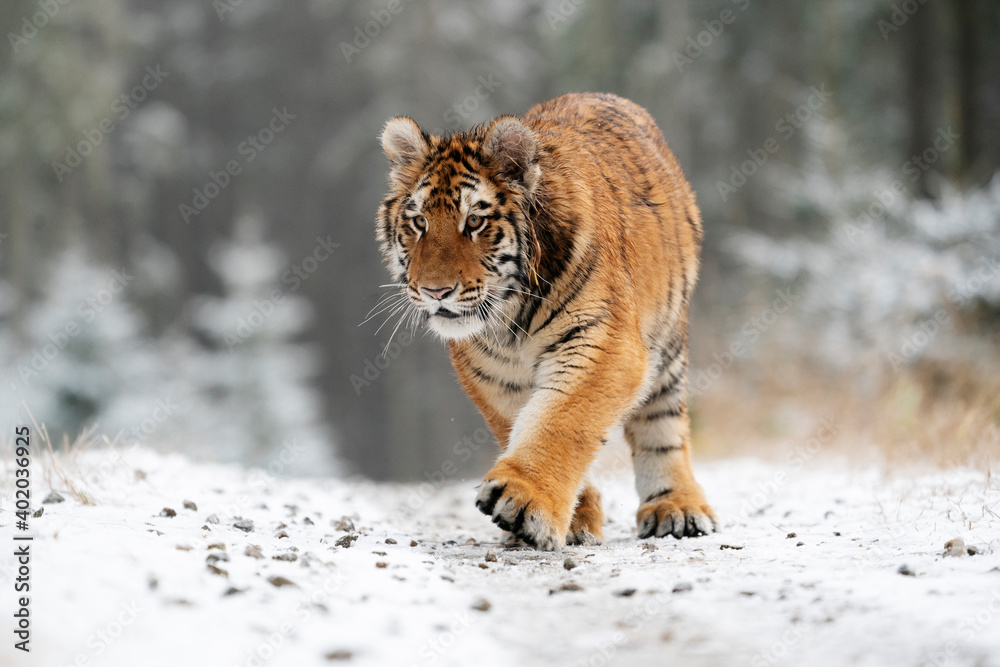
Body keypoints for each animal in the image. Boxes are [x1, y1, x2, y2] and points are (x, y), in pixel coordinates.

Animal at [375, 92, 717, 550]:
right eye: (419, 223)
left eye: (474, 221)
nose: (435, 291)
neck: (508, 318)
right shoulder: (494, 374)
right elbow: (526, 421)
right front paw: (573, 517)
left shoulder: (603, 341)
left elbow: (562, 418)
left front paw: (524, 501)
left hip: (667, 342)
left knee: (663, 426)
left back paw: (676, 508)